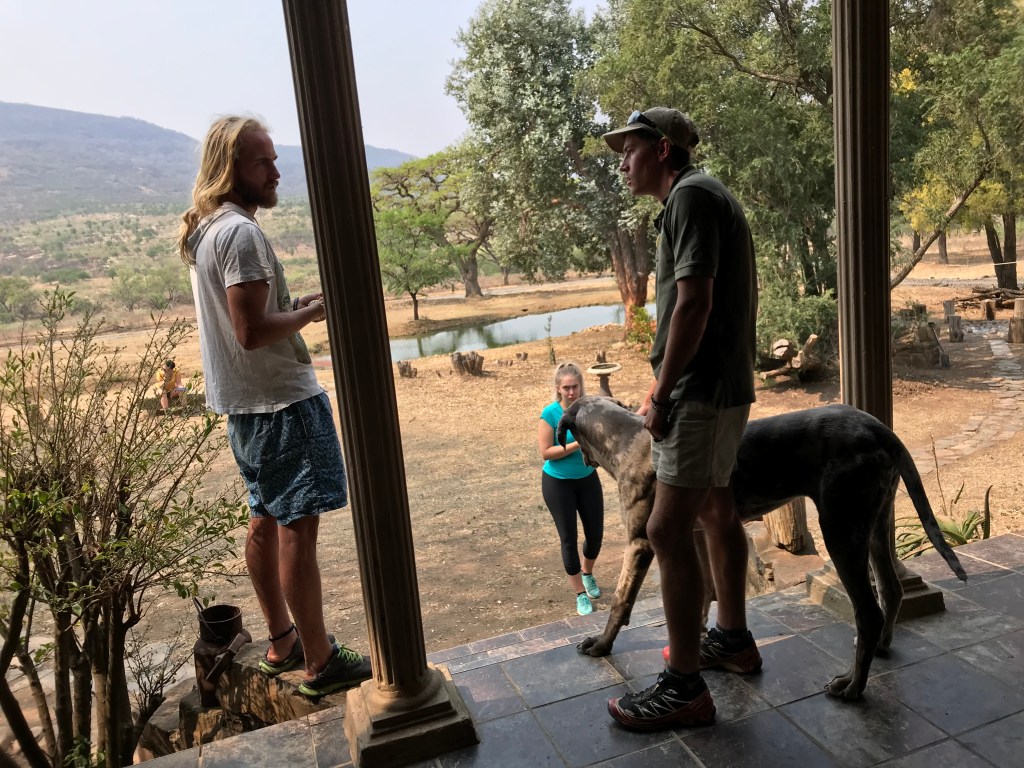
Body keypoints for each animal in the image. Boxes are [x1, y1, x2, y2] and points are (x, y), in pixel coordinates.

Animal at [556, 397, 967, 700]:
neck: (626, 439)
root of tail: (881, 429)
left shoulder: (643, 541)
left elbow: (620, 602)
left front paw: (601, 644)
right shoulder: (697, 534)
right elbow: (703, 594)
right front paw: (701, 642)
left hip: (841, 528)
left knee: (868, 611)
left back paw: (852, 685)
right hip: (877, 521)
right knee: (891, 590)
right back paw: (880, 648)